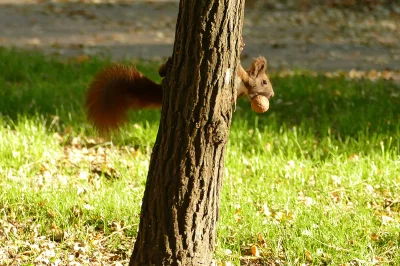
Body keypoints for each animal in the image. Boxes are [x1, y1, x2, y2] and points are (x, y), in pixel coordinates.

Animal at [85, 38, 274, 132]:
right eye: (264, 82)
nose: (271, 95)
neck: (244, 85)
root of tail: (162, 91)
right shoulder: (239, 74)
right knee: (161, 72)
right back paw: (167, 66)